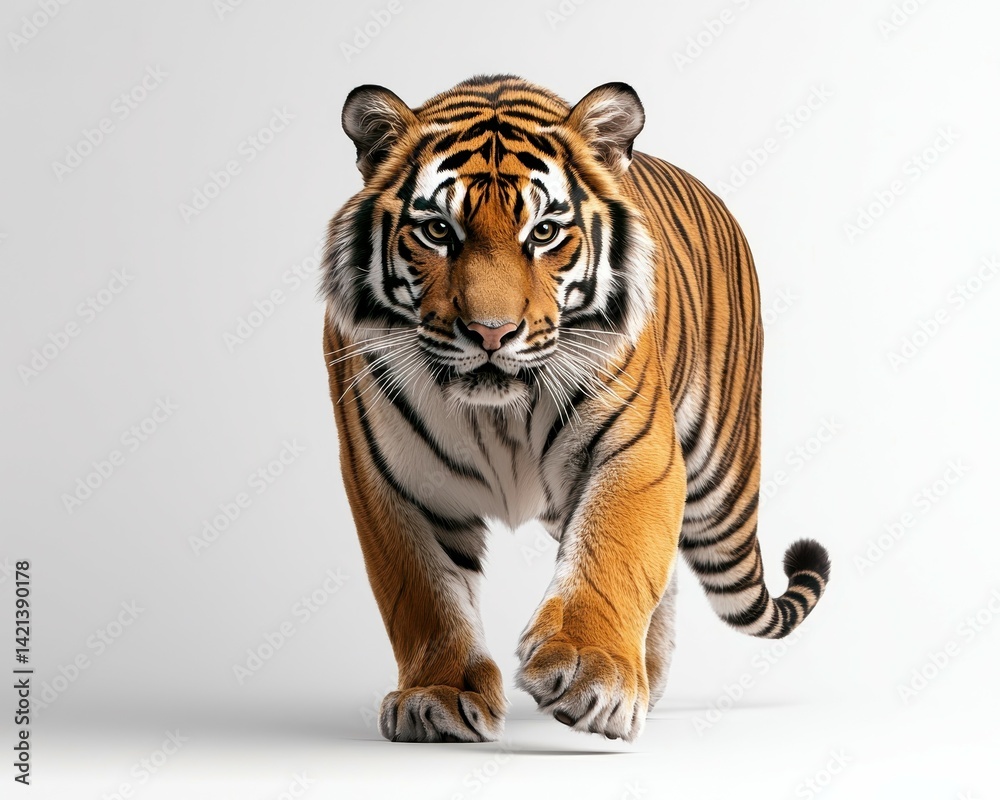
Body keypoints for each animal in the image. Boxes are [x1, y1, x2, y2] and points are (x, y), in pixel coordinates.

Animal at [321, 74, 830, 744]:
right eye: (437, 232)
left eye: (543, 233)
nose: (491, 332)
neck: (498, 414)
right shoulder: (390, 480)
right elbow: (424, 596)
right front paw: (438, 696)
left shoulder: (637, 451)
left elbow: (615, 553)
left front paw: (593, 672)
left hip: (721, 488)